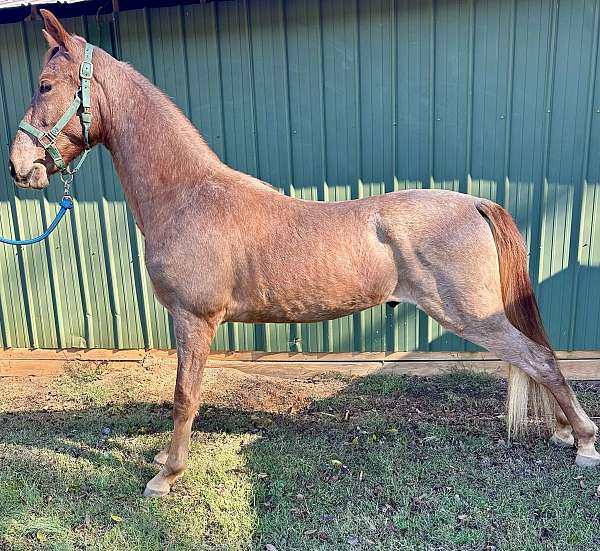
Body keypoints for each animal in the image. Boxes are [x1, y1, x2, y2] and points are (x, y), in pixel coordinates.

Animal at [9, 10, 600, 498]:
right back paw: (567, 433)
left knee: (540, 358)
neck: (189, 196)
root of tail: (474, 202)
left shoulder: (193, 318)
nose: (19, 166)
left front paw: (166, 474)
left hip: (475, 316)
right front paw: (162, 461)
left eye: (45, 84)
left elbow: (183, 396)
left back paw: (585, 442)